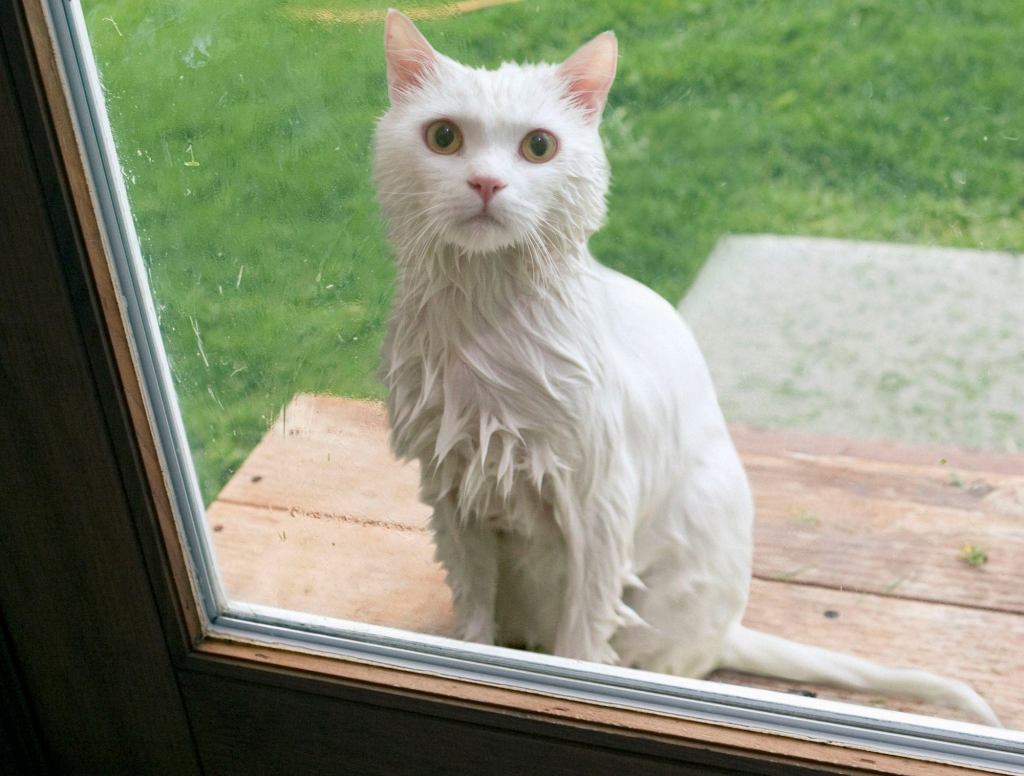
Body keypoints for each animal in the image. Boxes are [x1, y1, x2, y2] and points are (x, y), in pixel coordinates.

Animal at [374, 7, 999, 728]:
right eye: (444, 137)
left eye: (538, 147)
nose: (485, 184)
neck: (485, 329)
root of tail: (727, 631)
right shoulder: (453, 493)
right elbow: (473, 621)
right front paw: (475, 658)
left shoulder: (599, 505)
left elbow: (580, 643)